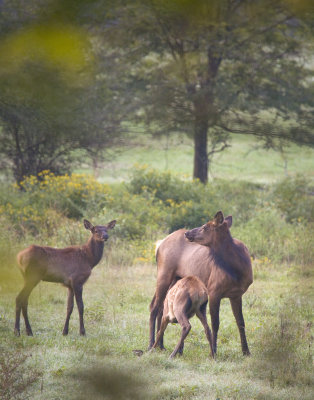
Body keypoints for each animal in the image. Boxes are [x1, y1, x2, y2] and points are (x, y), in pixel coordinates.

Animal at [149, 211, 253, 354]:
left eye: (205, 227)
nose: (187, 233)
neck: (237, 270)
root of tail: (159, 244)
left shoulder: (236, 294)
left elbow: (241, 322)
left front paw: (246, 352)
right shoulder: (214, 291)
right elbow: (215, 324)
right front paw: (213, 351)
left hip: (176, 279)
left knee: (162, 307)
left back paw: (161, 345)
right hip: (164, 274)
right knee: (154, 306)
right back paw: (151, 345)